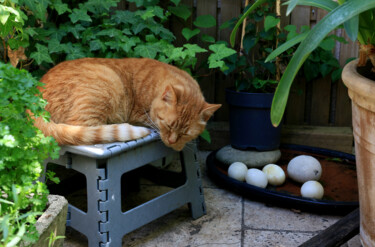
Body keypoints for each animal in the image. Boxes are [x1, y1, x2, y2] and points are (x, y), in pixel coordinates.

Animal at [32, 57, 222, 151]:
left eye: (185, 133)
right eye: (167, 125)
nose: (171, 141)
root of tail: (33, 97)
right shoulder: (140, 116)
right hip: (107, 81)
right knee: (86, 128)